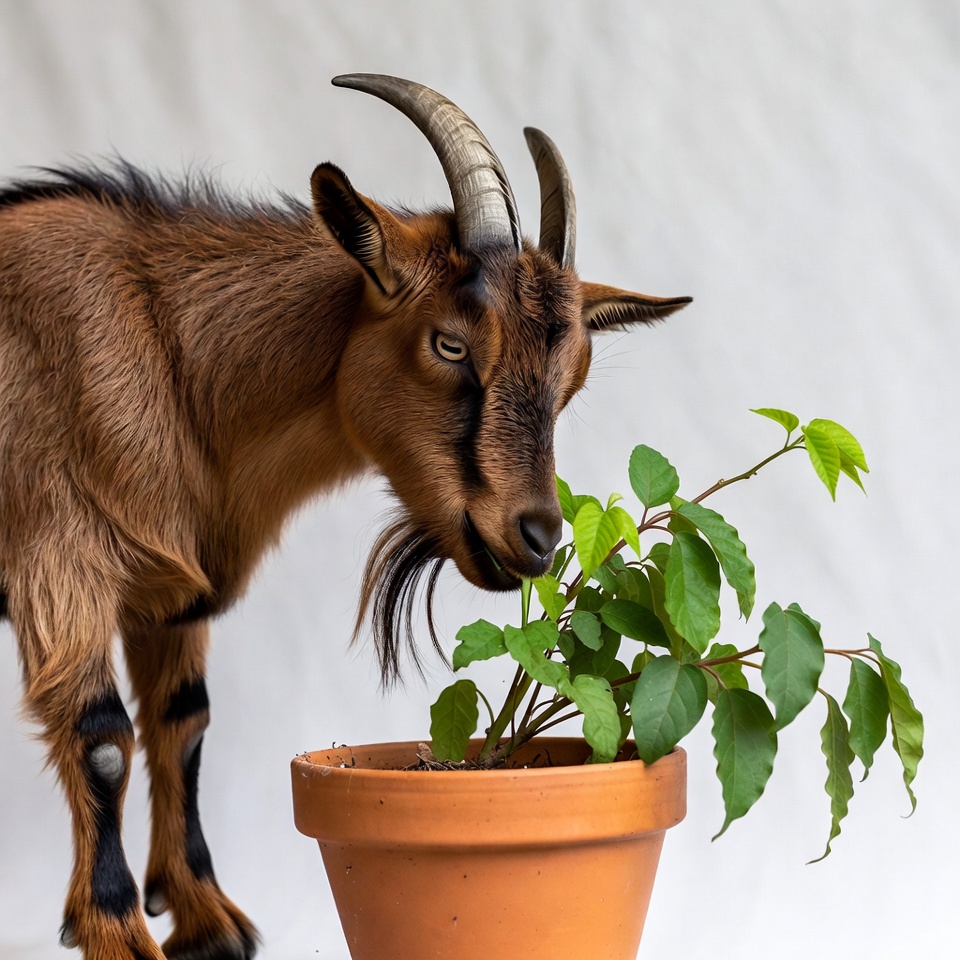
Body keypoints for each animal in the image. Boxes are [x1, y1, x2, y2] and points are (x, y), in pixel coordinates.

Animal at [0, 74, 690, 960]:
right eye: (450, 344)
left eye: (571, 381)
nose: (536, 539)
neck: (165, 349)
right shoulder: (61, 560)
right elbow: (102, 737)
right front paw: (119, 931)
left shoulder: (170, 591)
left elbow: (183, 724)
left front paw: (205, 918)